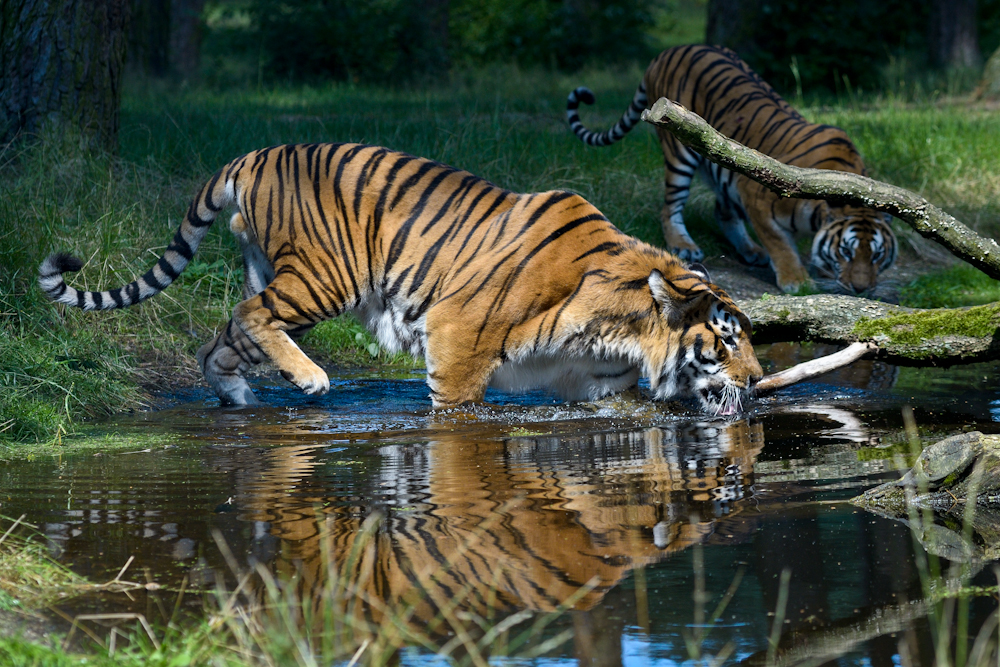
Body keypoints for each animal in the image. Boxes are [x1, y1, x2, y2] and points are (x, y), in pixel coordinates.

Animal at [35, 143, 760, 412]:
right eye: (726, 341)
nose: (757, 382)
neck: (622, 332)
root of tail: (252, 154)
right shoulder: (459, 338)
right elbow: (457, 410)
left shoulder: (591, 383)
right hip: (324, 279)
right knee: (248, 316)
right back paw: (310, 380)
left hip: (281, 281)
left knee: (217, 337)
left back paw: (238, 395)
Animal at [568, 44, 904, 294]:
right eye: (846, 252)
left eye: (876, 255)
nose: (861, 289)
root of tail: (669, 50)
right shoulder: (759, 192)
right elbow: (780, 243)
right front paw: (796, 280)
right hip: (679, 146)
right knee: (669, 207)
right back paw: (684, 245)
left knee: (723, 210)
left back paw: (751, 251)